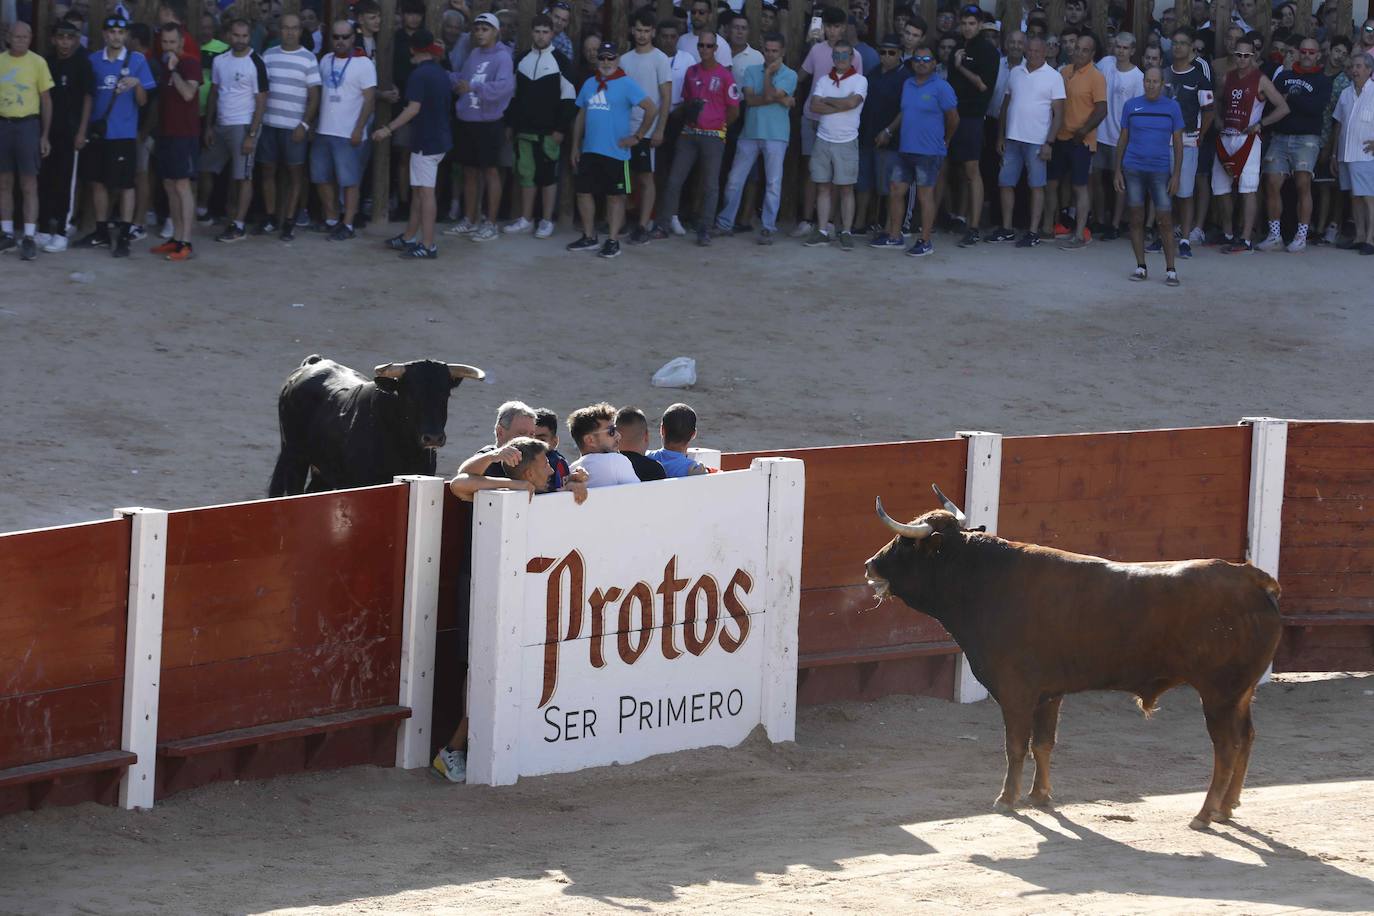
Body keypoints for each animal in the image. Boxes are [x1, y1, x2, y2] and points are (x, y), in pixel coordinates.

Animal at [862, 486, 1280, 829]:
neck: (983, 579)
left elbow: (1016, 745)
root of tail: (1252, 577)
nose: (869, 566)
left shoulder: (1015, 692)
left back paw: (1205, 814)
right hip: (1241, 694)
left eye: (904, 543)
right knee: (1248, 737)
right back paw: (1227, 808)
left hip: (1219, 694)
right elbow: (1043, 744)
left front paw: (1006, 800)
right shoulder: (1050, 693)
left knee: (1226, 747)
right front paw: (1039, 796)